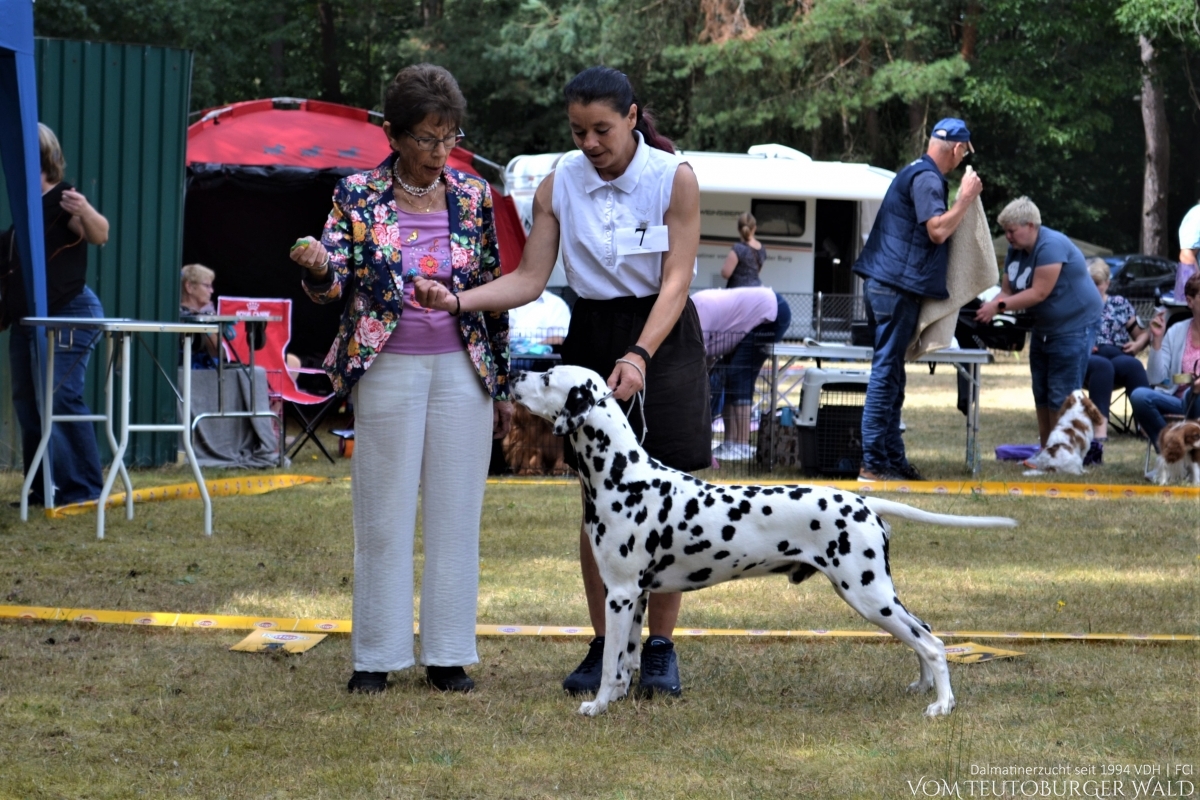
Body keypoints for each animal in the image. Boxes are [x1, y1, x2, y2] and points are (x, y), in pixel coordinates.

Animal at [511, 367, 1017, 724]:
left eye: (548, 377)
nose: (513, 375)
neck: (623, 475)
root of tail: (862, 500)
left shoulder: (618, 594)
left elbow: (611, 664)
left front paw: (597, 707)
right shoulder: (636, 596)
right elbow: (624, 662)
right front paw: (615, 699)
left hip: (868, 593)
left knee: (933, 642)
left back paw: (942, 706)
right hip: (877, 595)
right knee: (924, 632)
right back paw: (923, 687)